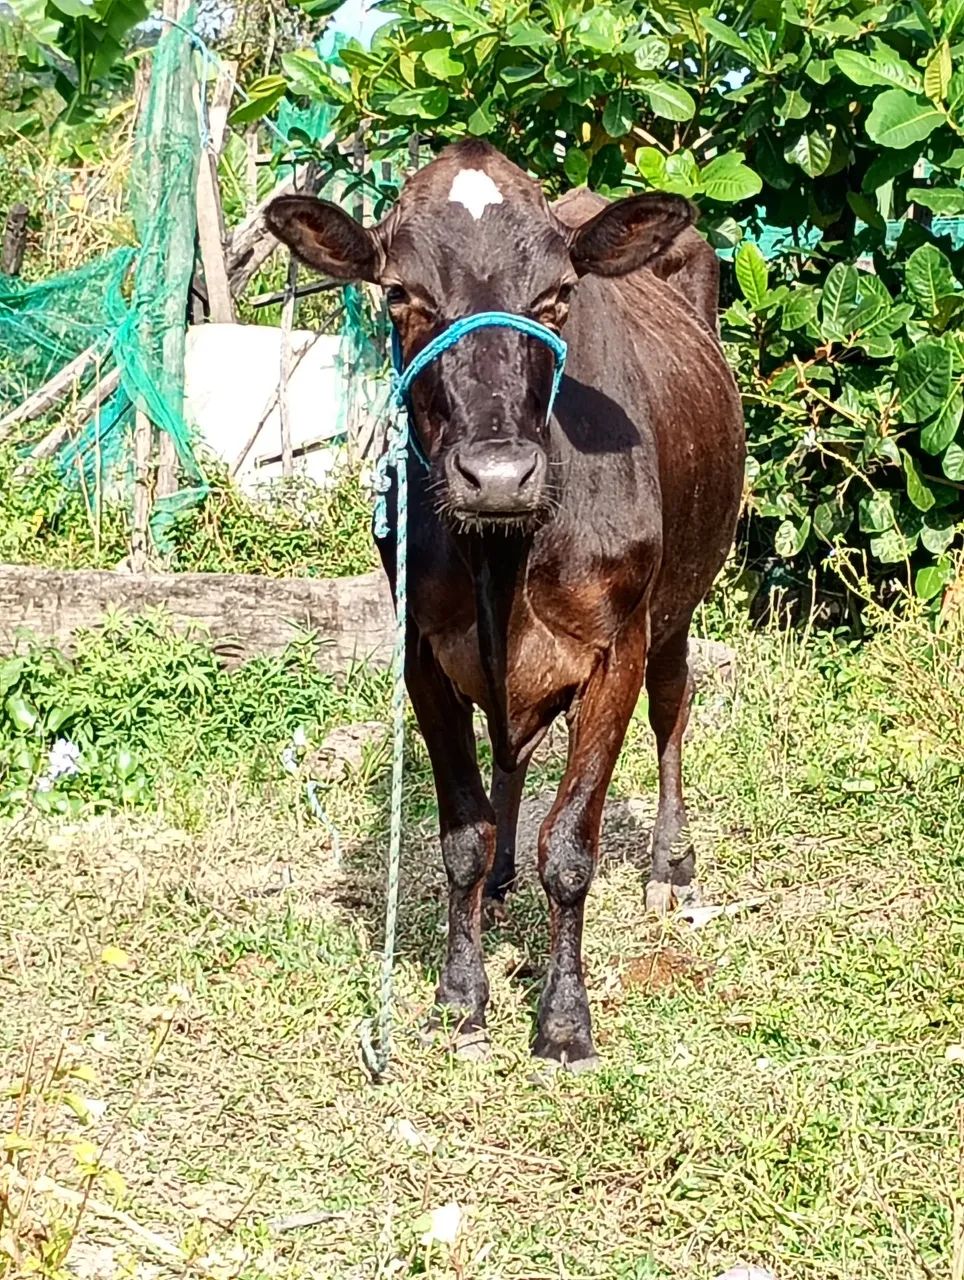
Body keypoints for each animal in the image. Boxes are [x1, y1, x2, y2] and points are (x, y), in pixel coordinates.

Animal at [266, 140, 745, 1071]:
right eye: (400, 293)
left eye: (557, 294)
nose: (496, 476)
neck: (504, 553)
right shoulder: (423, 651)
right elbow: (462, 834)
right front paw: (460, 994)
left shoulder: (617, 648)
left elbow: (572, 847)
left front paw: (563, 1020)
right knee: (511, 752)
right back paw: (499, 883)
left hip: (679, 603)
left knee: (674, 707)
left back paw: (670, 866)